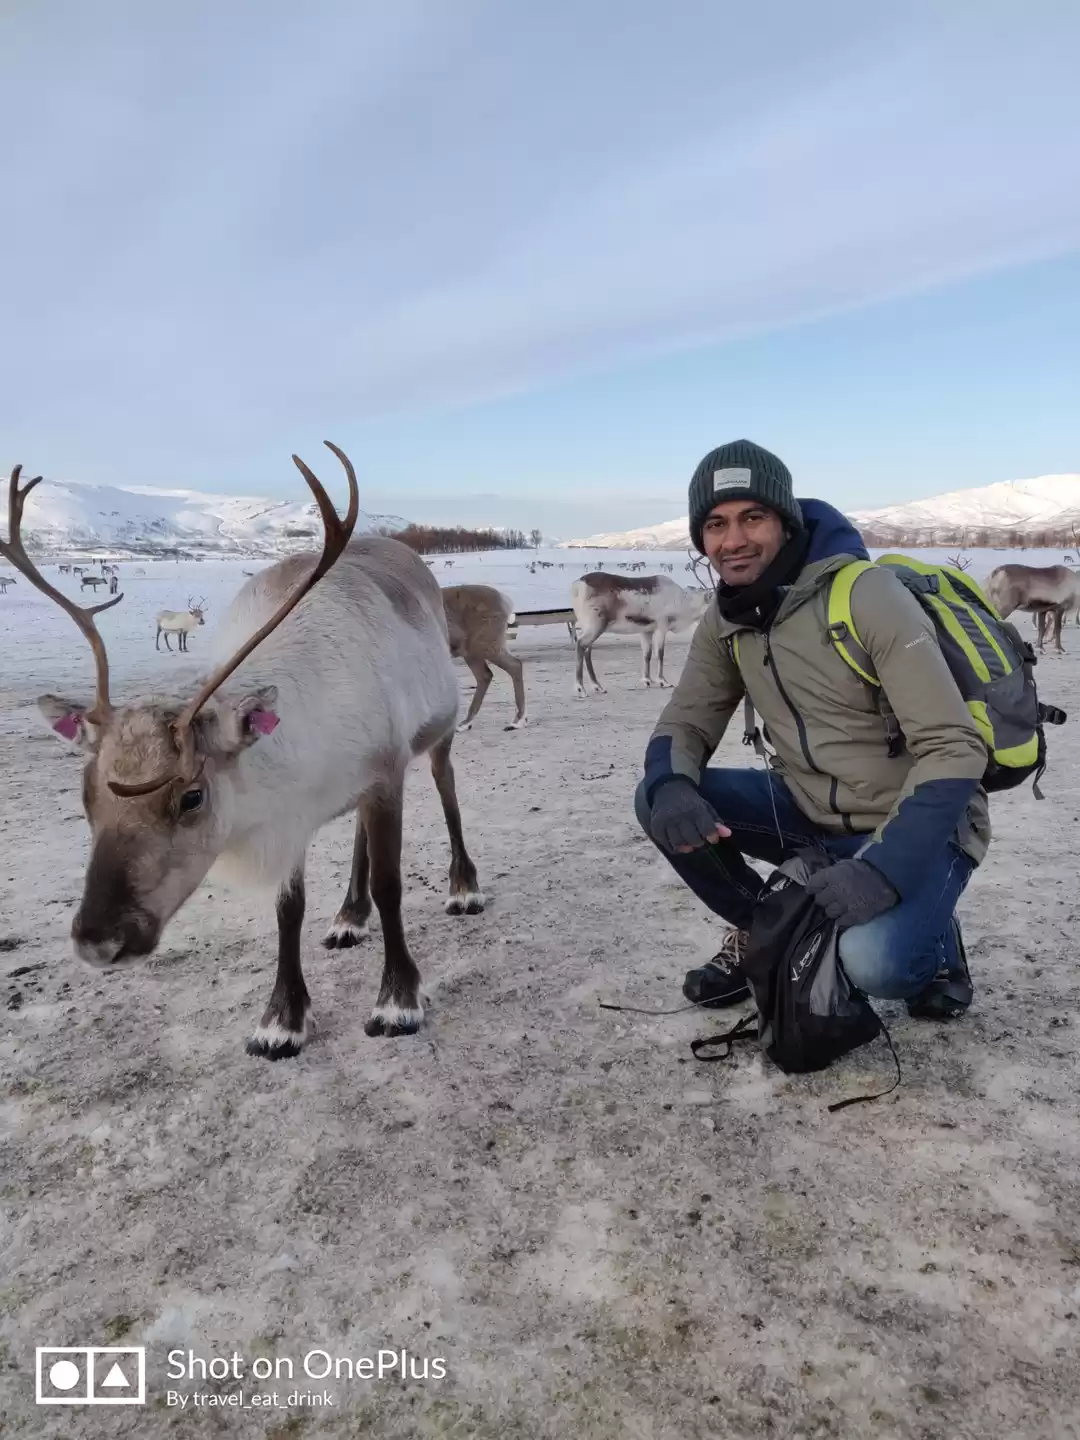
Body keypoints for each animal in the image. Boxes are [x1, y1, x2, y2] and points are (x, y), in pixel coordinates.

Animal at [1, 445, 485, 1059]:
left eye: (192, 796)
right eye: (86, 796)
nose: (97, 942)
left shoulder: (385, 773)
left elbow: (391, 885)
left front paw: (398, 1001)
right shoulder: (290, 810)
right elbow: (288, 908)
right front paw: (282, 1019)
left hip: (439, 728)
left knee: (448, 789)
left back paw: (464, 887)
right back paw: (348, 917)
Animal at [441, 584, 527, 731]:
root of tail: (506, 601)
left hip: (485, 644)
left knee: (514, 665)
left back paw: (518, 720)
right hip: (473, 651)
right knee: (485, 675)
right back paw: (466, 722)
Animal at [570, 572, 711, 696]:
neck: (683, 601)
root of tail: (577, 585)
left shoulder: (646, 631)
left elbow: (647, 654)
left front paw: (647, 680)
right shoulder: (662, 626)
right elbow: (660, 654)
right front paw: (663, 681)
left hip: (587, 626)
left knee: (587, 651)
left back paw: (598, 687)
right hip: (596, 625)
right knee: (580, 644)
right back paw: (581, 689)